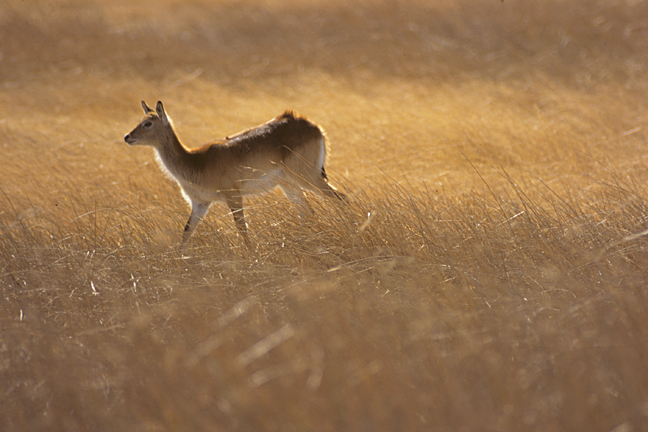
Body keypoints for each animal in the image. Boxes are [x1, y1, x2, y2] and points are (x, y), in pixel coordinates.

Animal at [123, 99, 344, 245]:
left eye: (148, 123)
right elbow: (185, 234)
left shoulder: (234, 196)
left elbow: (242, 230)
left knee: (341, 198)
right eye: (141, 119)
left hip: (309, 178)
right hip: (290, 185)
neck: (195, 161)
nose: (127, 136)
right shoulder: (200, 204)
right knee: (309, 212)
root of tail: (314, 127)